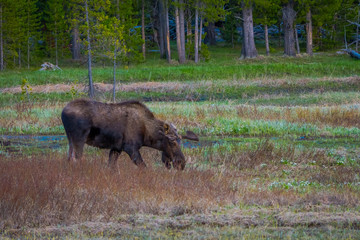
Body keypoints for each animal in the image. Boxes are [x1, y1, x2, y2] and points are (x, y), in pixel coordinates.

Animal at [60, 98, 198, 170]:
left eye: (180, 141)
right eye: (172, 142)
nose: (181, 163)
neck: (147, 133)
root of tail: (62, 112)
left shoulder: (116, 148)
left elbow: (111, 167)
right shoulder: (130, 148)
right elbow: (143, 166)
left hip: (70, 139)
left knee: (69, 158)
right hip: (79, 139)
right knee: (76, 159)